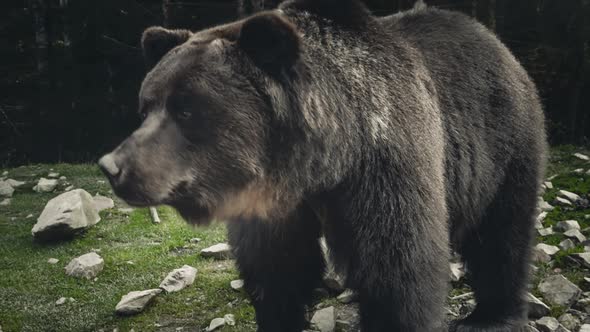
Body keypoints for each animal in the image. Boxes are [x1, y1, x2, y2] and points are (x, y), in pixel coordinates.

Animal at [99, 1, 548, 330]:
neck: (316, 165)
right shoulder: (272, 205)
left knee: (502, 233)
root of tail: (493, 41)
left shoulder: (384, 166)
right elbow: (276, 268)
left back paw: (491, 316)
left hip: (504, 142)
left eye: (186, 109)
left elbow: (398, 269)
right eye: (146, 106)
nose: (112, 166)